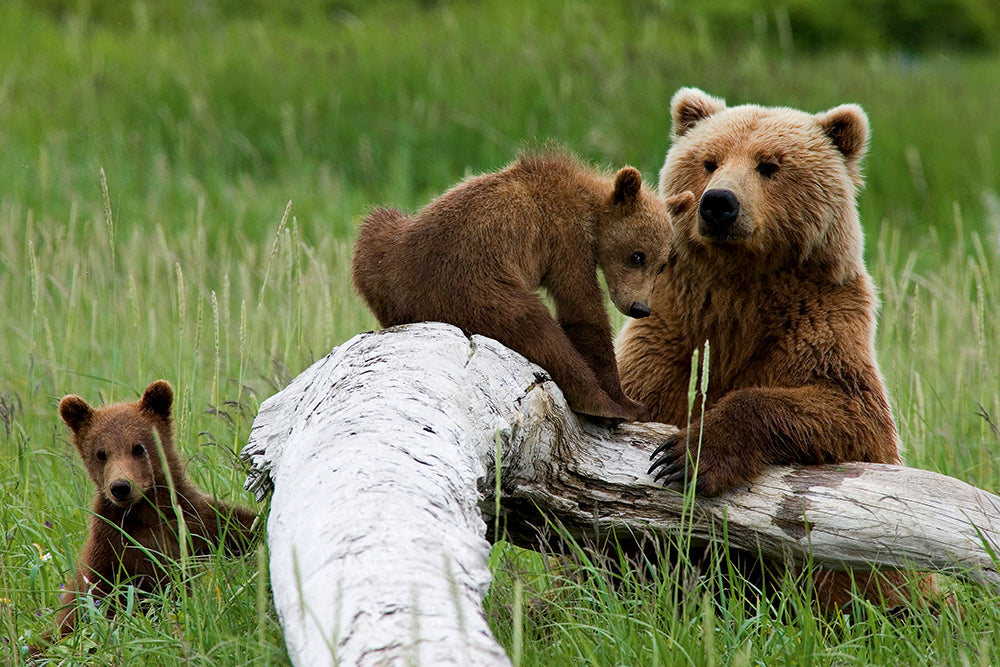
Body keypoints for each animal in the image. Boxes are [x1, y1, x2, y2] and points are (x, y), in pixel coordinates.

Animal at [38, 379, 257, 646]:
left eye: (138, 448)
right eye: (101, 453)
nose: (121, 486)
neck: (147, 513)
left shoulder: (193, 522)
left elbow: (238, 526)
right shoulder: (110, 546)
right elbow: (98, 595)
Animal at [352, 149, 688, 423]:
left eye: (662, 264)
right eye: (637, 255)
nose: (640, 307)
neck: (590, 209)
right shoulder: (566, 238)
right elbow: (582, 309)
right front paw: (629, 403)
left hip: (383, 251)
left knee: (376, 223)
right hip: (476, 284)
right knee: (537, 327)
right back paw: (600, 405)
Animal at [616, 88, 939, 612]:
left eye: (768, 165)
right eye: (708, 161)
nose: (719, 203)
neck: (741, 289)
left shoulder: (818, 325)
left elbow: (848, 413)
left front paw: (688, 456)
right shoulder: (671, 333)